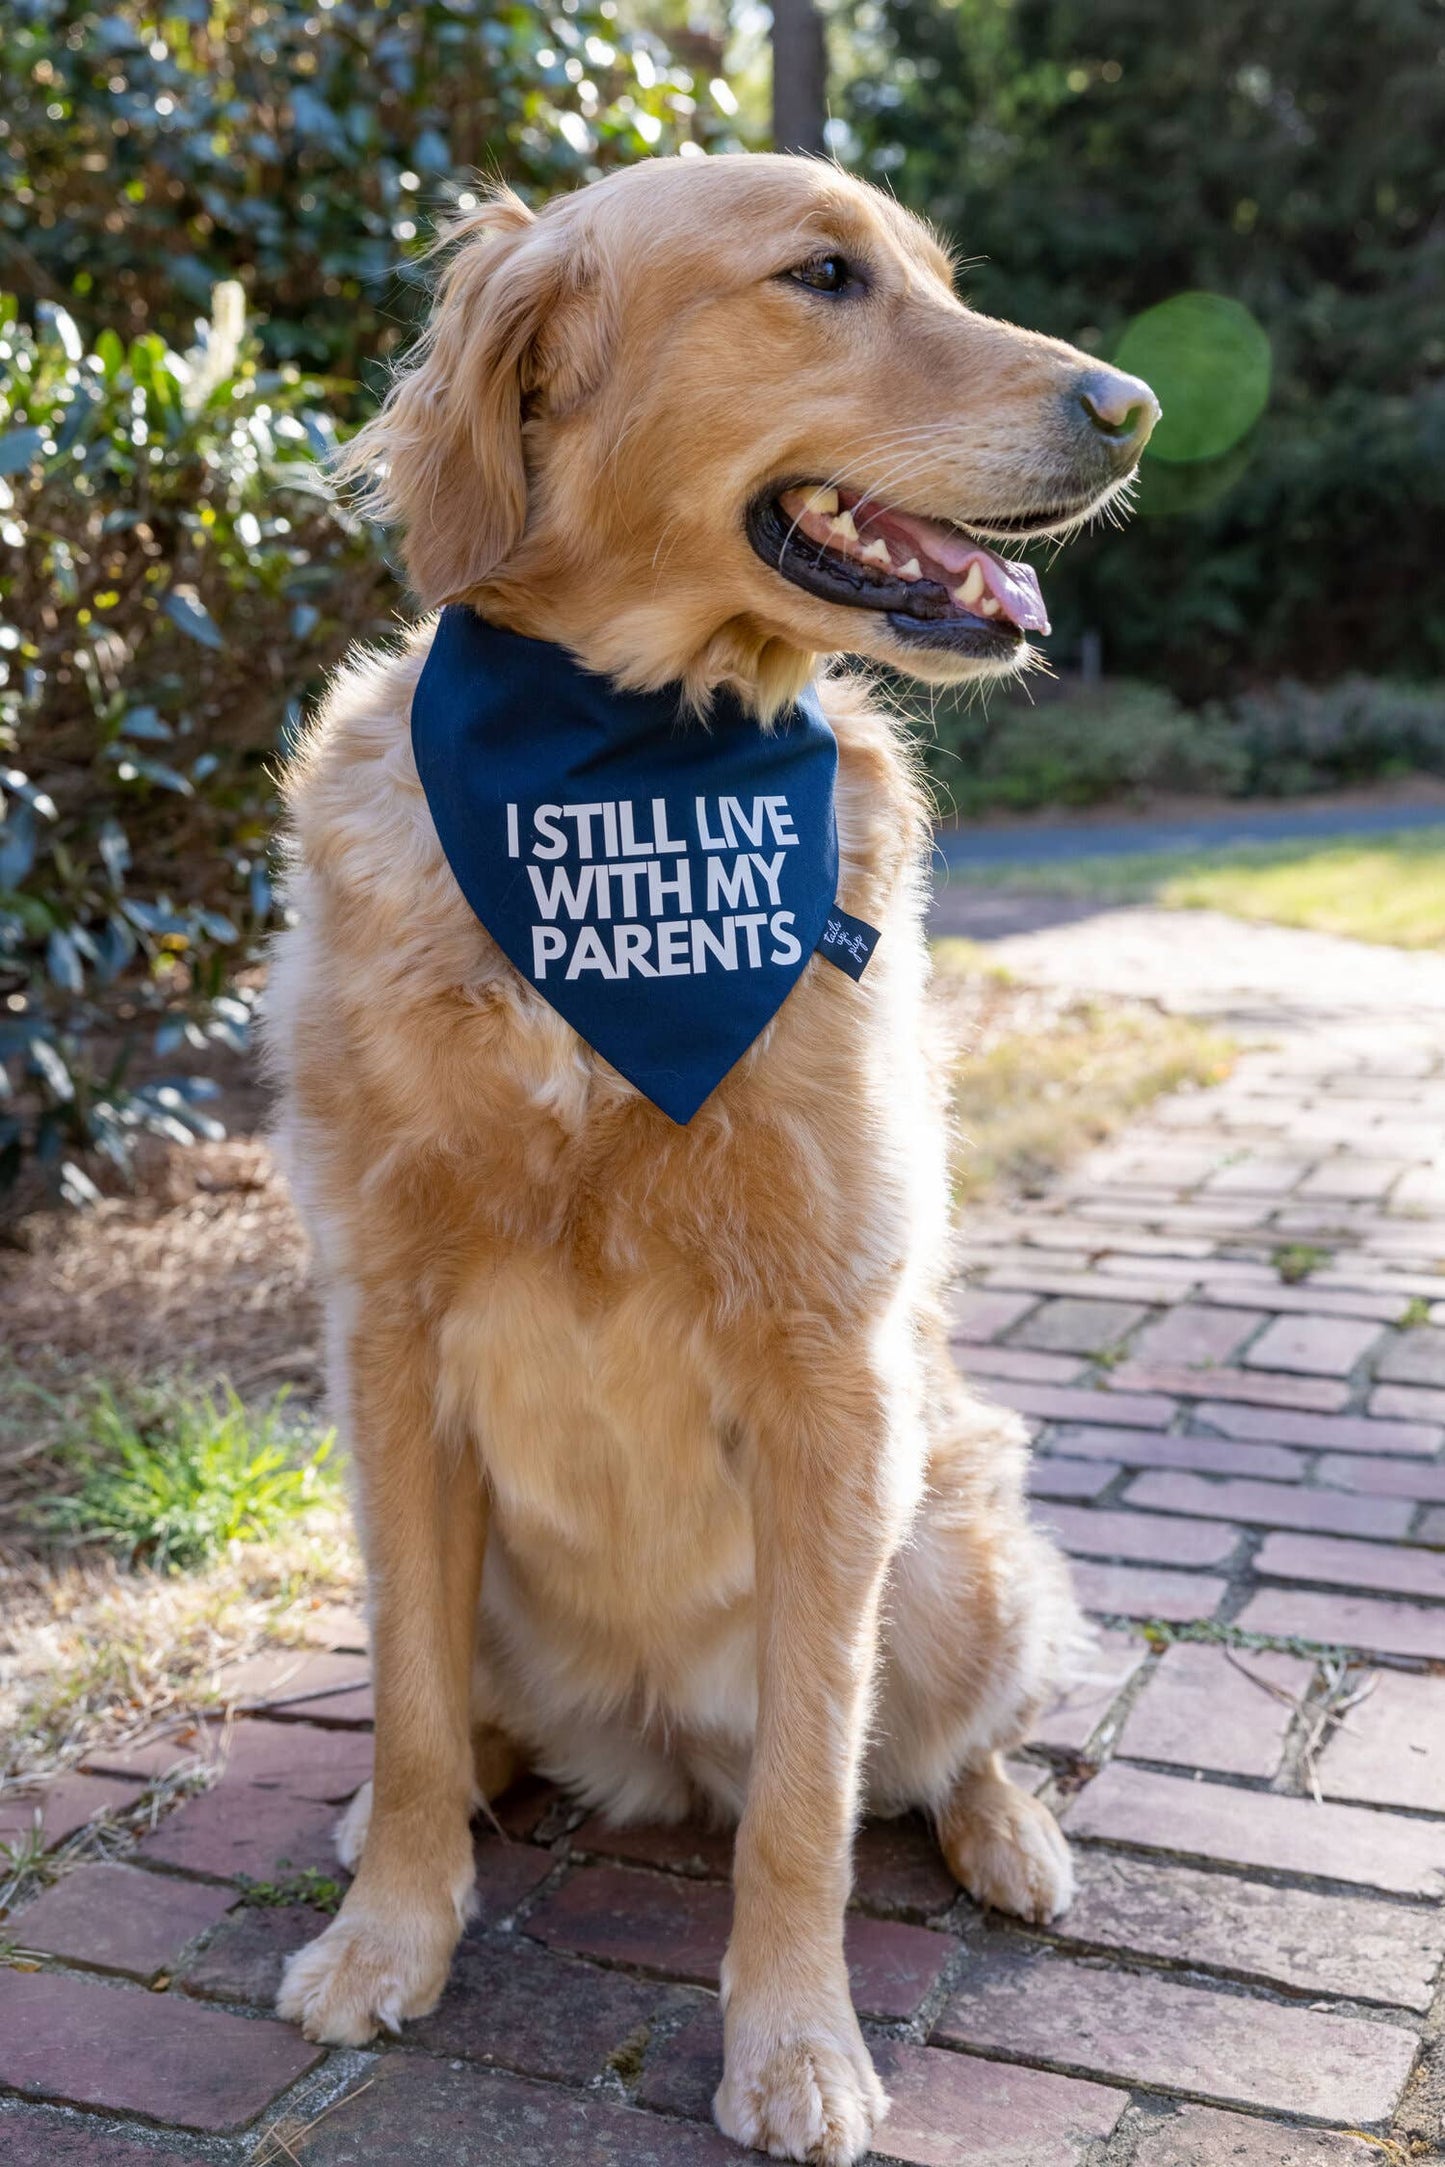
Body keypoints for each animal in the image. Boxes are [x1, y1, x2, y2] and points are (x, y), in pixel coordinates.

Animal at [265, 157, 1161, 2167]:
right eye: (822, 276)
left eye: (939, 278)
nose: (1132, 405)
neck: (629, 774)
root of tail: (655, 1739)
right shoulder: (387, 1330)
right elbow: (410, 1710)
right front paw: (390, 1928)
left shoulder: (835, 1369)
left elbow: (809, 1799)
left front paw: (797, 2043)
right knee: (464, 1708)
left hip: (950, 1541)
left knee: (932, 1748)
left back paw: (1012, 1833)